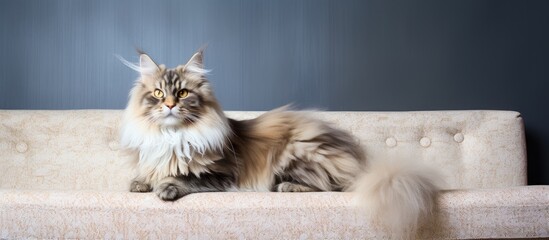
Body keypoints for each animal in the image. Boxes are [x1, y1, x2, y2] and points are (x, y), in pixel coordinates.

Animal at [120, 50, 440, 238]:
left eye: (183, 93)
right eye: (158, 93)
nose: (170, 105)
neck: (172, 136)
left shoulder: (222, 175)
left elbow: (183, 177)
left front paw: (165, 187)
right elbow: (145, 175)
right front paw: (140, 183)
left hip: (297, 153)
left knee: (333, 186)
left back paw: (287, 187)